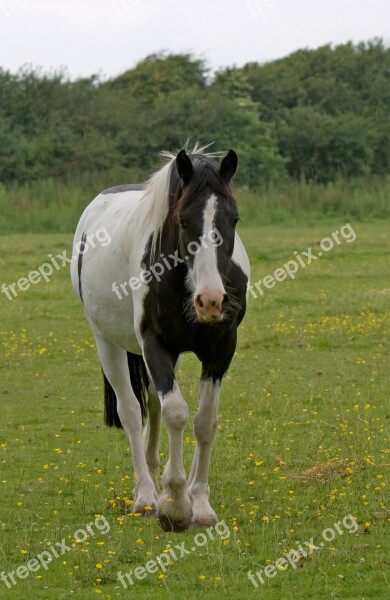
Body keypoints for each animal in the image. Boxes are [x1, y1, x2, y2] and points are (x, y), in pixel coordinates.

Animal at [70, 144, 250, 528]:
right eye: (182, 221)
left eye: (234, 219)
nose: (211, 300)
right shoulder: (155, 344)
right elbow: (177, 413)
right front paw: (175, 504)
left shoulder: (220, 349)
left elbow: (204, 422)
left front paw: (200, 504)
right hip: (107, 343)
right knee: (131, 410)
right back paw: (146, 495)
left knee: (152, 403)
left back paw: (154, 477)